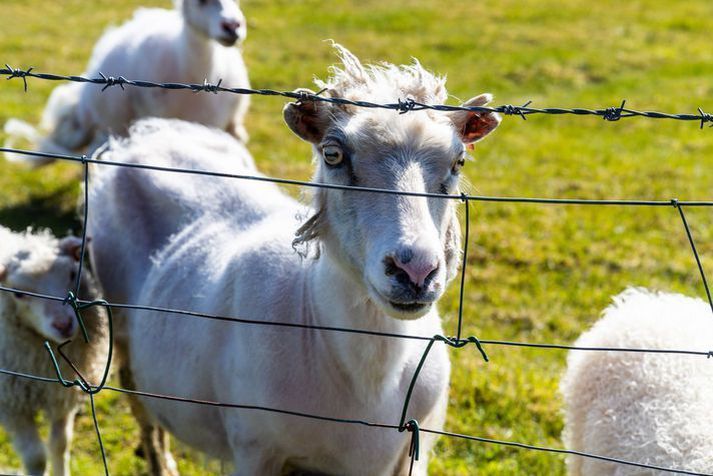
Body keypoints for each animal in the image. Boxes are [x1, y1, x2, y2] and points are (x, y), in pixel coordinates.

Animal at [0, 227, 108, 476]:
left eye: (72, 274)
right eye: (18, 294)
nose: (64, 324)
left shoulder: (61, 393)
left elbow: (60, 445)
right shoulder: (11, 404)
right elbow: (36, 458)